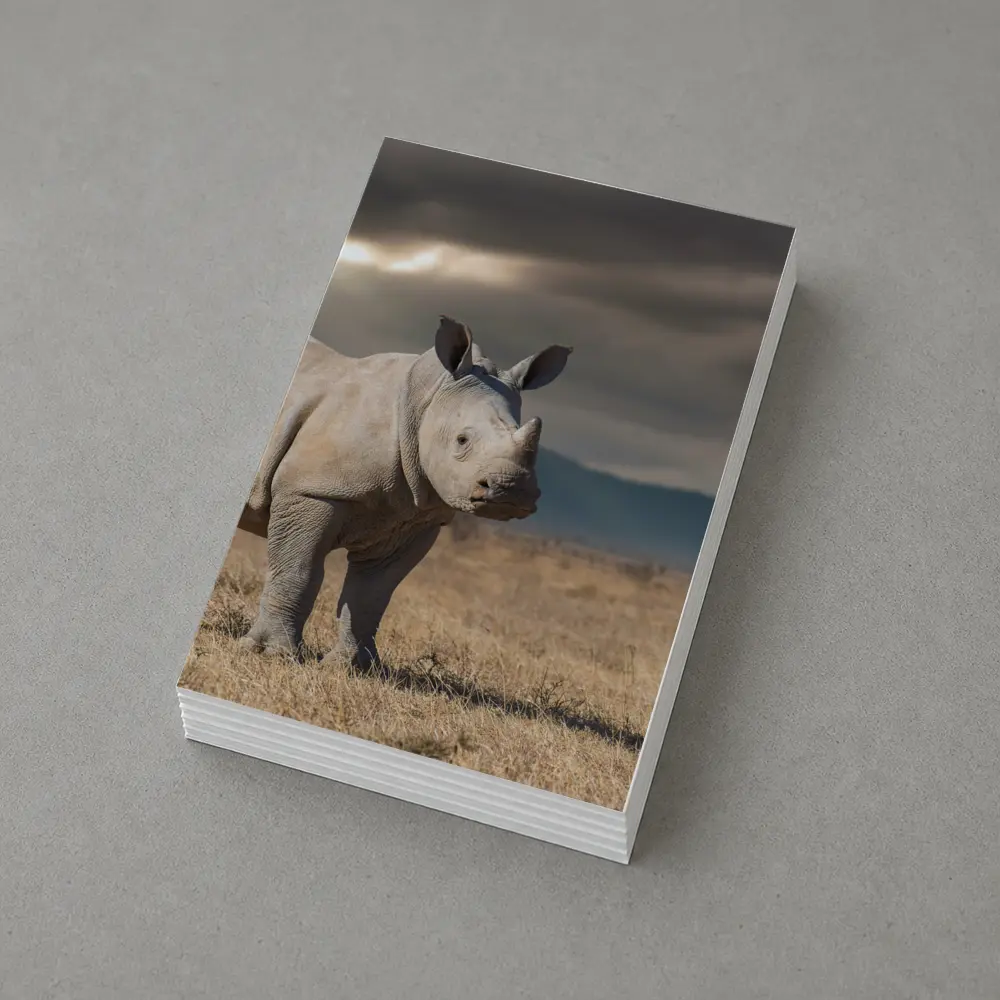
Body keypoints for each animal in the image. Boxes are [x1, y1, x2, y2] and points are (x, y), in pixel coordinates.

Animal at [236, 315, 572, 670]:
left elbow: (371, 595)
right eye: (462, 440)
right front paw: (270, 653)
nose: (511, 489)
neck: (425, 402)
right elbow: (298, 572)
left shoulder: (413, 518)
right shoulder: (311, 489)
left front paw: (354, 668)